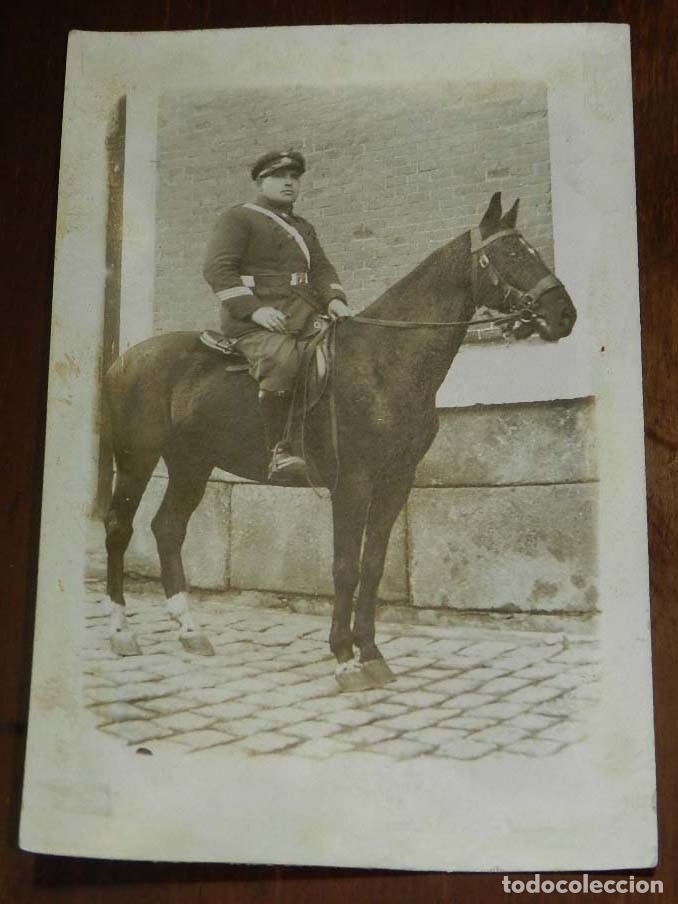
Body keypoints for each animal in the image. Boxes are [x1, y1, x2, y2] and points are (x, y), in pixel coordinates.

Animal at [102, 192, 576, 691]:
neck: (384, 361)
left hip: (191, 463)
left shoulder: (394, 483)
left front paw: (371, 653)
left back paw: (190, 630)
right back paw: (121, 631)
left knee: (168, 528)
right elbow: (345, 567)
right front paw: (345, 659)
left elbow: (372, 566)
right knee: (119, 529)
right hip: (136, 459)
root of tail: (126, 358)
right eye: (512, 253)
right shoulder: (352, 483)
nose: (565, 314)